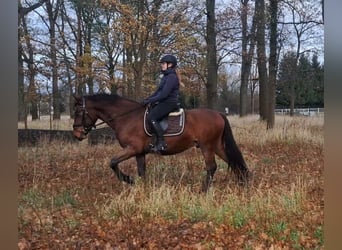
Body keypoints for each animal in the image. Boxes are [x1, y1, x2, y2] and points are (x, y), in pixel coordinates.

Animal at [72, 94, 250, 191]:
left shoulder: (132, 149)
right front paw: (142, 188)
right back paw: (243, 182)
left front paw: (129, 180)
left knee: (211, 167)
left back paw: (204, 190)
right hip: (217, 146)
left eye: (79, 111)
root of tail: (218, 114)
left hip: (207, 146)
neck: (127, 117)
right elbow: (142, 171)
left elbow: (113, 162)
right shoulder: (139, 152)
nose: (77, 134)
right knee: (233, 161)